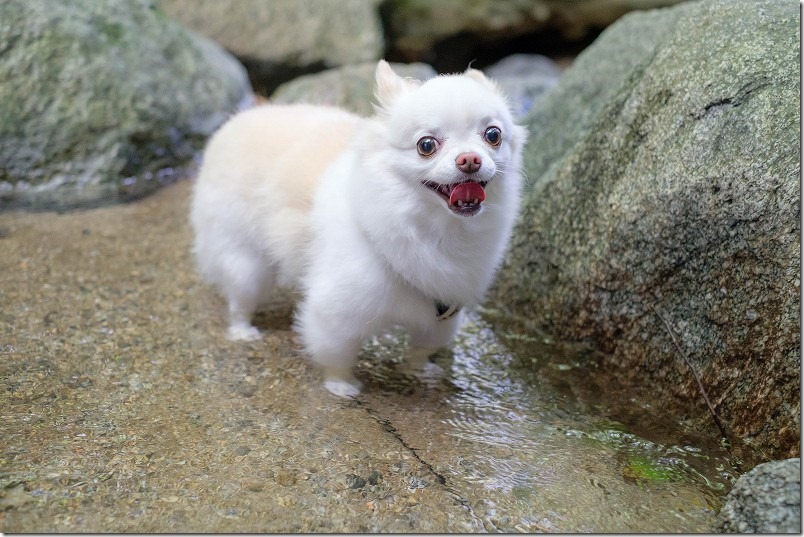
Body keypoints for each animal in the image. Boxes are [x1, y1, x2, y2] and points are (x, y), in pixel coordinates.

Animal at [189, 60, 528, 396]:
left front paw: (420, 371)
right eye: (426, 145)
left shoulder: (444, 309)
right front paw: (341, 385)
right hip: (246, 263)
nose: (470, 159)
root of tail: (236, 122)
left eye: (493, 135)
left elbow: (422, 347)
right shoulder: (338, 310)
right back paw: (243, 330)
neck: (435, 230)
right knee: (240, 297)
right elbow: (337, 352)